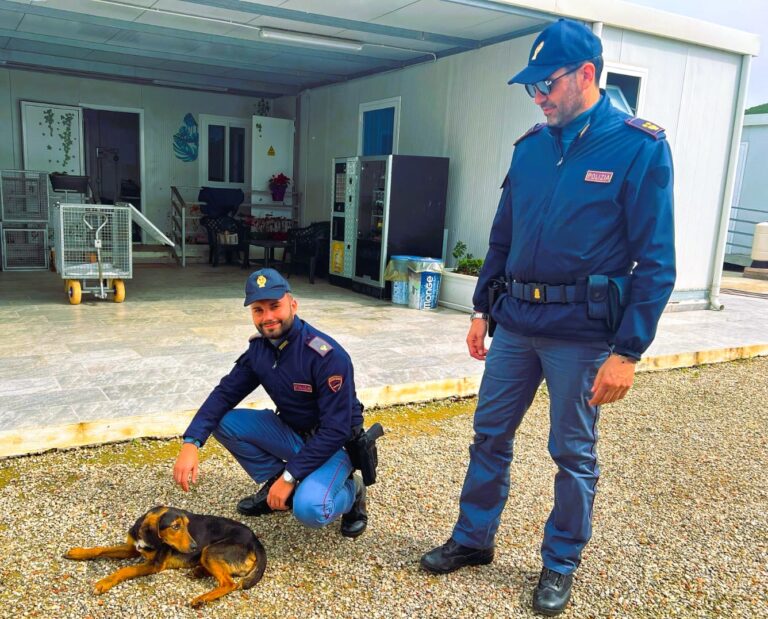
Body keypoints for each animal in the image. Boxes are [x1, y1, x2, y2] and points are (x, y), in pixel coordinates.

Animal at [63, 506, 268, 608]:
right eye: (176, 526)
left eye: (187, 525)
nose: (194, 546)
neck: (146, 537)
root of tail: (256, 540)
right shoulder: (131, 548)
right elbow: (100, 549)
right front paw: (78, 552)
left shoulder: (154, 564)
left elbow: (125, 569)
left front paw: (104, 583)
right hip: (208, 554)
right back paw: (198, 572)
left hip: (210, 551)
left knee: (229, 583)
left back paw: (201, 598)